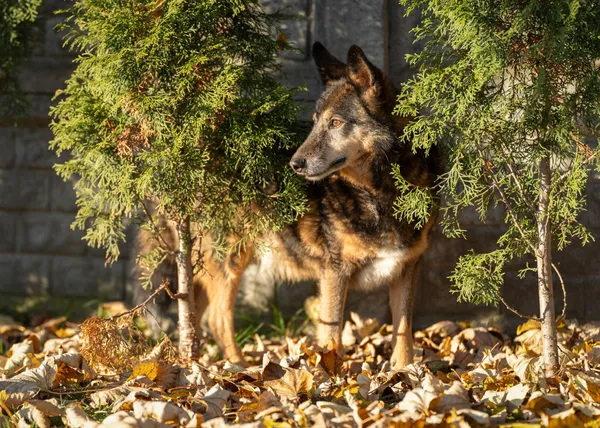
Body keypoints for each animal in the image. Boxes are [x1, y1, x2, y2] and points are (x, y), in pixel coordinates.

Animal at [189, 42, 440, 372]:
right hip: (228, 262)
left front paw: (403, 372)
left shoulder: (406, 267)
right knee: (217, 320)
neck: (379, 195)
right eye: (314, 121)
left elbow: (403, 331)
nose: (295, 164)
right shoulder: (334, 272)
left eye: (335, 123)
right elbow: (332, 335)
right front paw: (333, 377)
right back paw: (241, 369)